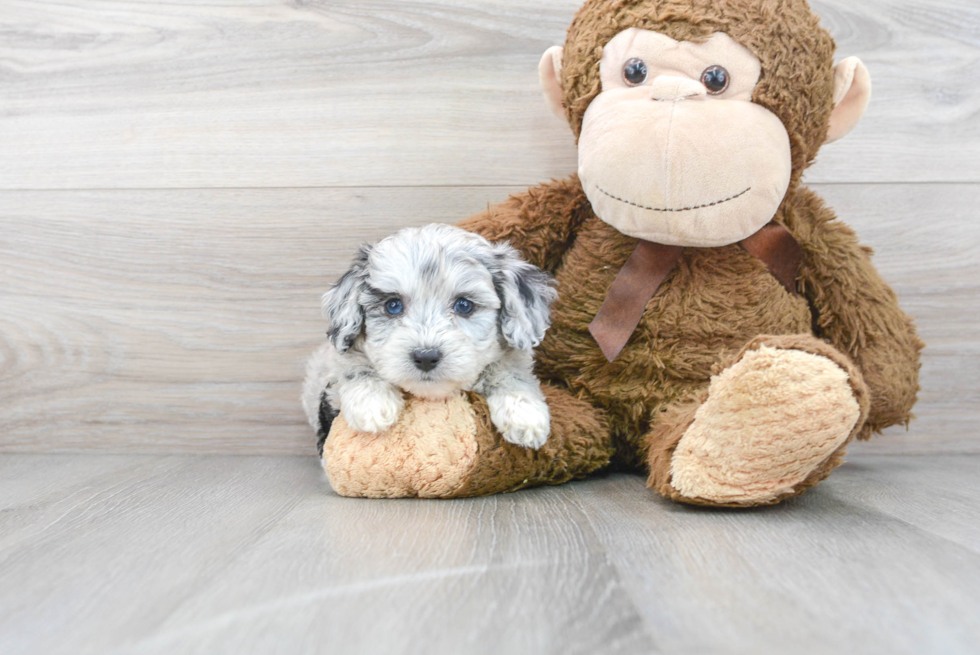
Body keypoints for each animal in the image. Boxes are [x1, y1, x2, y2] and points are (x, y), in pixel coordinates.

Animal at [298, 224, 560, 456]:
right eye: (393, 305)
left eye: (464, 305)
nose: (425, 357)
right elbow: (353, 366)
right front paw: (371, 402)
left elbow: (510, 370)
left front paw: (523, 413)